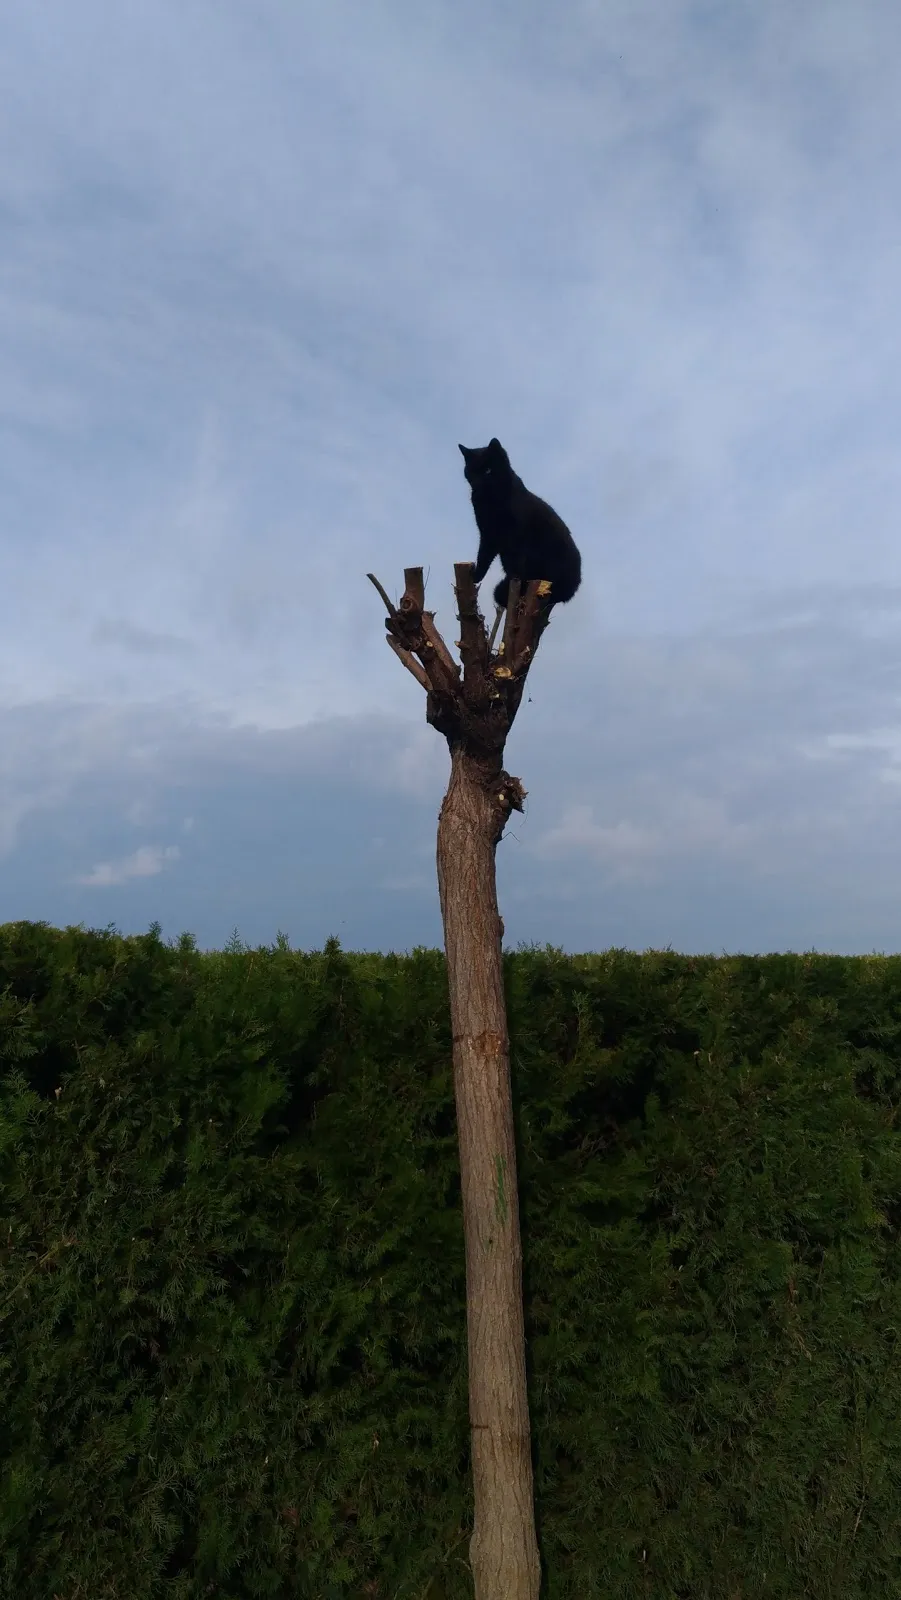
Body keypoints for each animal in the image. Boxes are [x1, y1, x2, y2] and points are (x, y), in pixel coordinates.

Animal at [457, 438, 585, 611]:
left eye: (488, 471)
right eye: (470, 472)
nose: (477, 483)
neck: (490, 499)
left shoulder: (516, 535)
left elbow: (516, 563)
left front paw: (515, 583)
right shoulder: (488, 534)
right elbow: (483, 557)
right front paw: (476, 576)